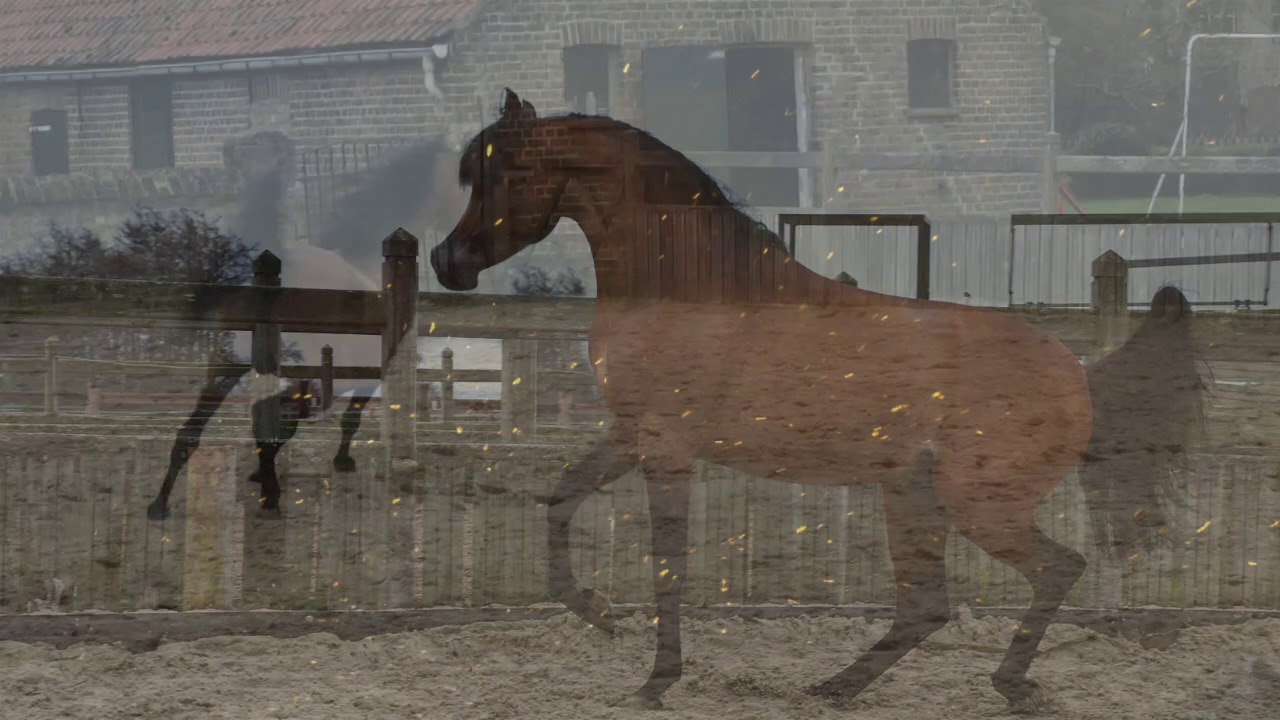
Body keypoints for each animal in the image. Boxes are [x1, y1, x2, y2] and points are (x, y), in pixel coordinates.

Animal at [148, 136, 464, 520]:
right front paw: (340, 461)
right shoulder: (364, 377)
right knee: (268, 430)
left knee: (192, 430)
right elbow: (348, 420)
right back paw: (270, 498)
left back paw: (160, 503)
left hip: (225, 364)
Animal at [428, 89, 1199, 710]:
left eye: (508, 174)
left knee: (1054, 570)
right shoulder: (629, 434)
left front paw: (656, 680)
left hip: (977, 503)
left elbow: (668, 562)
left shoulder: (666, 449)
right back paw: (837, 686)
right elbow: (560, 500)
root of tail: (1079, 373)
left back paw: (1009, 684)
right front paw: (597, 612)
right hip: (912, 496)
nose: (447, 262)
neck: (690, 288)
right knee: (928, 604)